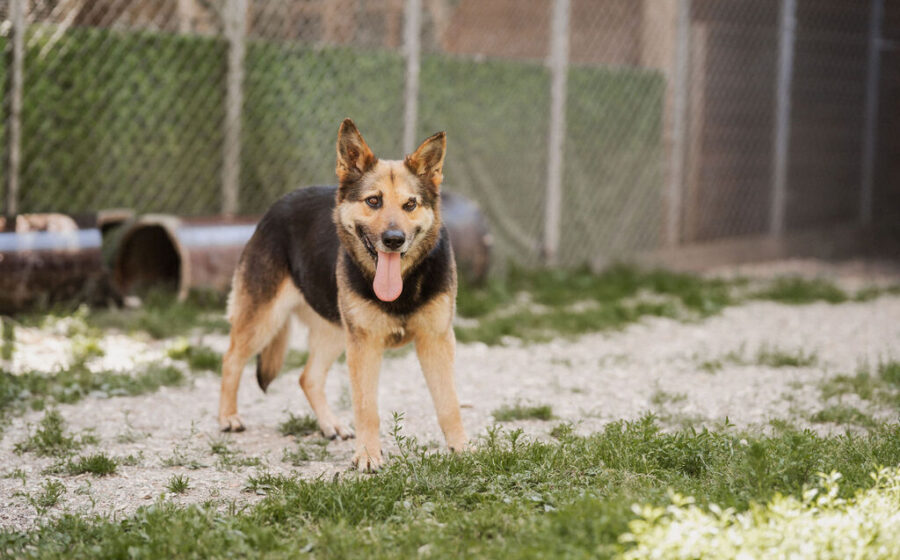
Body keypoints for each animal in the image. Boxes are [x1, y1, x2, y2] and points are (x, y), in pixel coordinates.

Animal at [218, 119, 468, 472]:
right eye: (373, 201)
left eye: (410, 205)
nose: (394, 240)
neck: (402, 285)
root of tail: (276, 206)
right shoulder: (364, 345)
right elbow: (366, 407)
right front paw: (368, 455)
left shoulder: (436, 341)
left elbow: (449, 403)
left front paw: (463, 449)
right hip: (264, 319)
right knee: (231, 360)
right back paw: (228, 417)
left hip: (334, 330)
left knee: (308, 377)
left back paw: (330, 425)